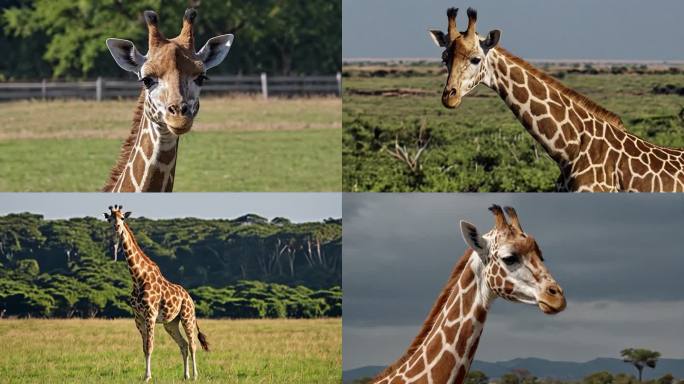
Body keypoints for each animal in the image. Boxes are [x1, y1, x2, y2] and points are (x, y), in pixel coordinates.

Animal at [103, 204, 208, 380]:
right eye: (110, 219)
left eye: (123, 217)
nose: (117, 227)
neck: (138, 278)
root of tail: (189, 297)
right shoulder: (138, 317)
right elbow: (144, 348)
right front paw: (145, 375)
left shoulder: (150, 315)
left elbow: (150, 346)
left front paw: (147, 376)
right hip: (170, 323)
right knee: (184, 344)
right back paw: (185, 375)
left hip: (187, 316)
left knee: (192, 344)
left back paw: (195, 375)